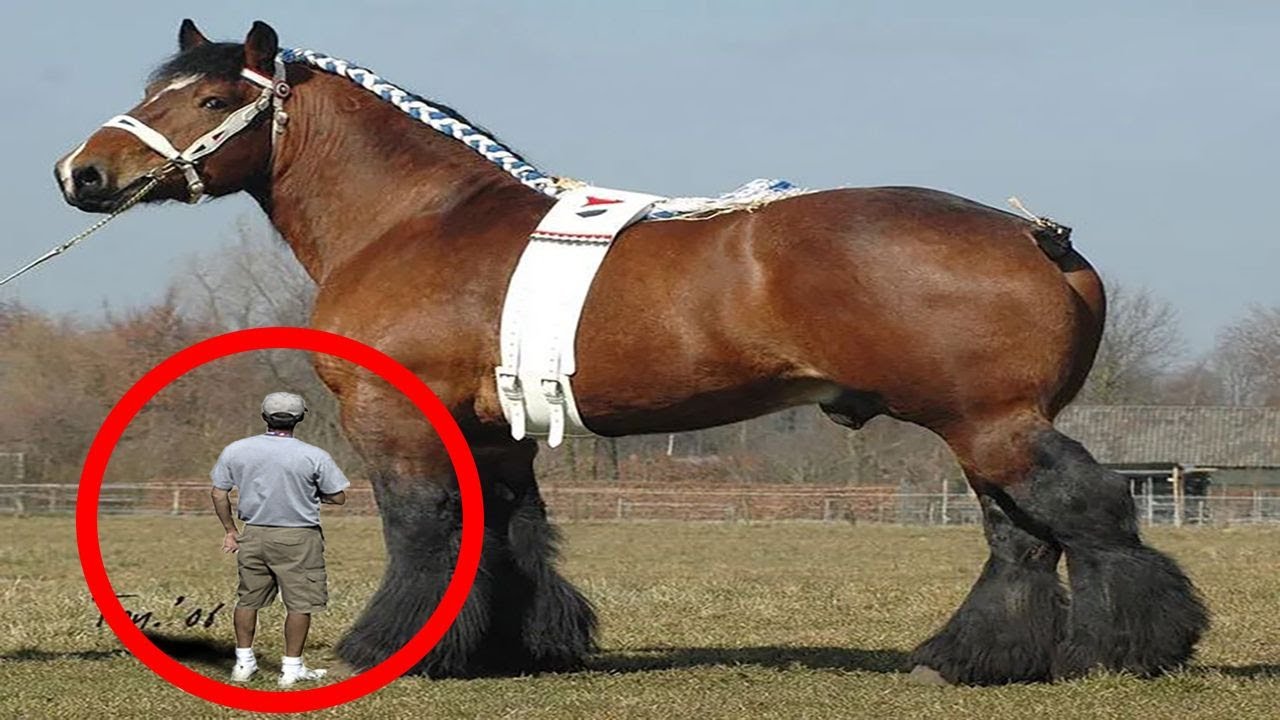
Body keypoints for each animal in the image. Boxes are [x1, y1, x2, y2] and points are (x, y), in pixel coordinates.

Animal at [54, 20, 1207, 684]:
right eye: (153, 90)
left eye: (210, 100)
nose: (84, 172)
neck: (417, 221)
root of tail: (1034, 233)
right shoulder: (496, 425)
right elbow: (508, 532)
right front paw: (517, 648)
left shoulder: (397, 415)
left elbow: (424, 529)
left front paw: (391, 651)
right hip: (981, 431)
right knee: (1020, 541)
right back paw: (965, 661)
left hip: (990, 425)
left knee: (1085, 518)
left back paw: (1130, 649)